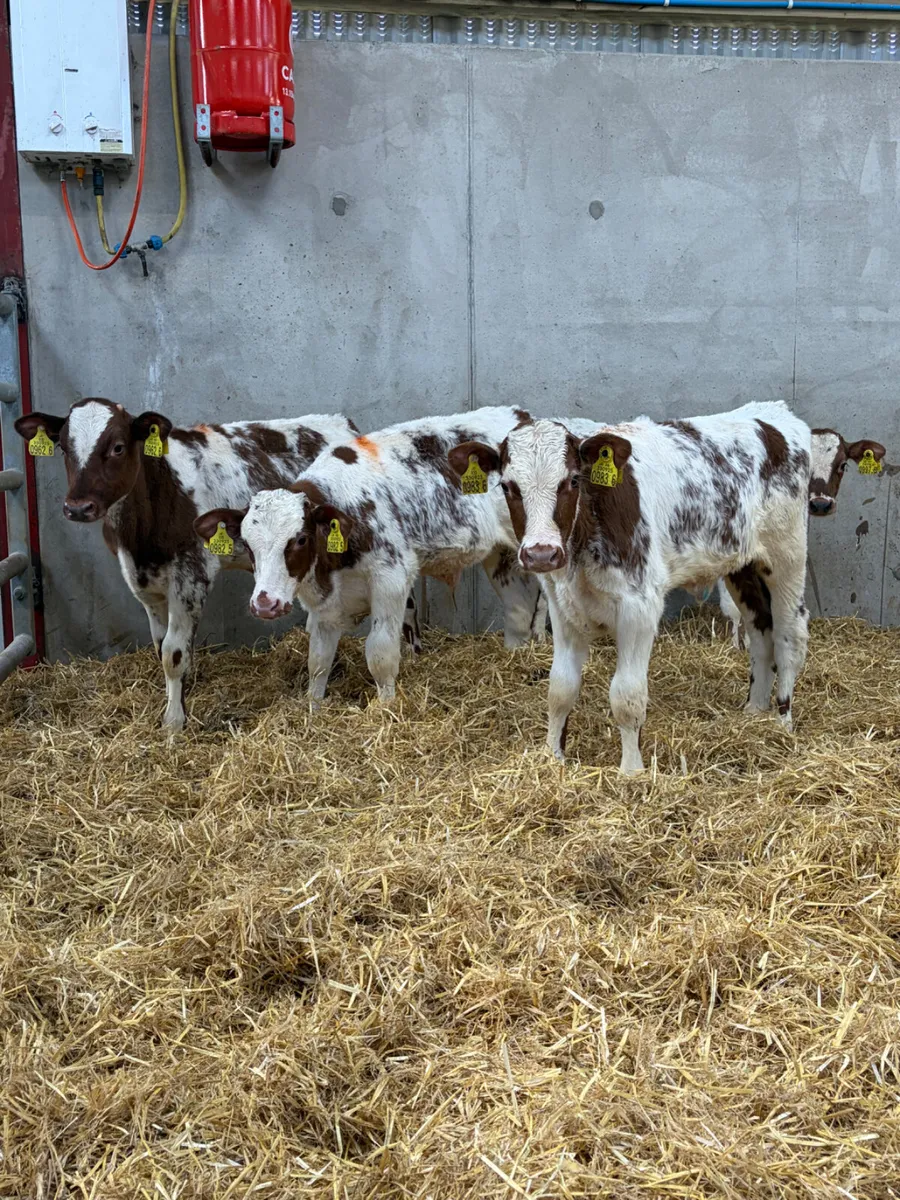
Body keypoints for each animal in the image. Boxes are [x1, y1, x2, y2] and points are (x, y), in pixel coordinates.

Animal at [14, 399, 371, 731]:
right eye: (63, 447)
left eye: (117, 447)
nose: (78, 507)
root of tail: (343, 423)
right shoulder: (144, 583)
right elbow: (162, 647)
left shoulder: (191, 576)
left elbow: (174, 652)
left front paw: (173, 723)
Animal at [193, 407, 549, 707]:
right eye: (248, 544)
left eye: (300, 539)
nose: (265, 604)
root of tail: (521, 416)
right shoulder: (325, 603)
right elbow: (318, 660)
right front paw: (313, 709)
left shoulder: (391, 579)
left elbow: (380, 654)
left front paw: (386, 708)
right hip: (499, 555)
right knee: (517, 609)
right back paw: (515, 657)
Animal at [450, 402, 812, 774]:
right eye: (508, 487)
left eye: (572, 480)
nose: (541, 553)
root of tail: (770, 414)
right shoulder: (563, 608)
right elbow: (560, 689)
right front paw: (553, 757)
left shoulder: (639, 608)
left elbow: (626, 695)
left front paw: (631, 771)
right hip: (743, 566)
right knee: (760, 630)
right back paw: (754, 711)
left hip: (786, 556)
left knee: (788, 634)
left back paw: (782, 722)